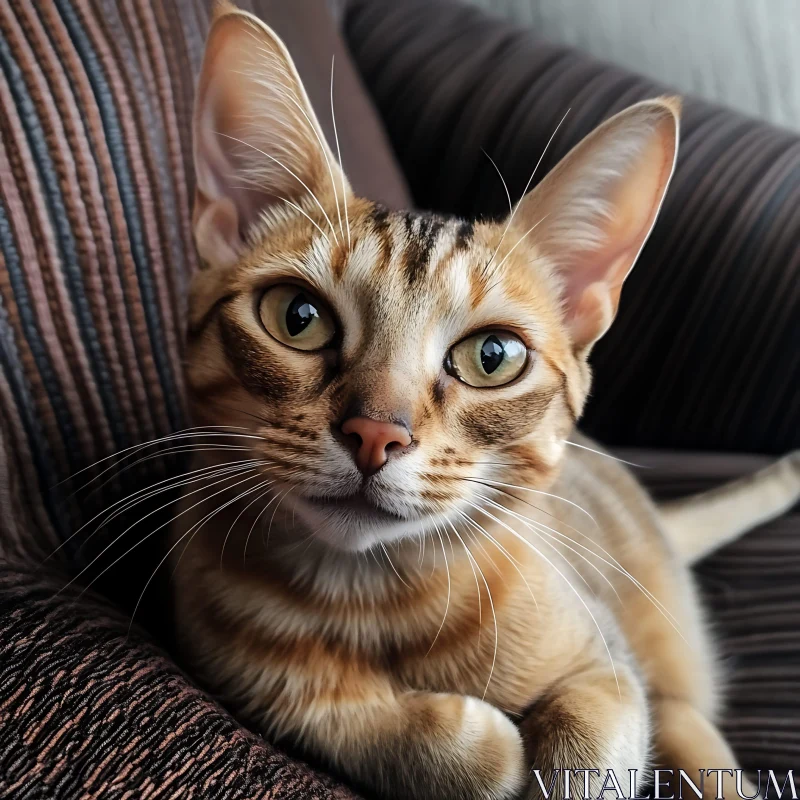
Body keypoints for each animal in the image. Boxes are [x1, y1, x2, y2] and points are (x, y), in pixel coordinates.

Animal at [170, 3, 800, 796]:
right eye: (298, 317)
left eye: (492, 357)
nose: (375, 433)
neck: (370, 592)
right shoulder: (229, 655)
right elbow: (340, 714)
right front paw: (474, 743)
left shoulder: (605, 662)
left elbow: (597, 734)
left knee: (684, 718)